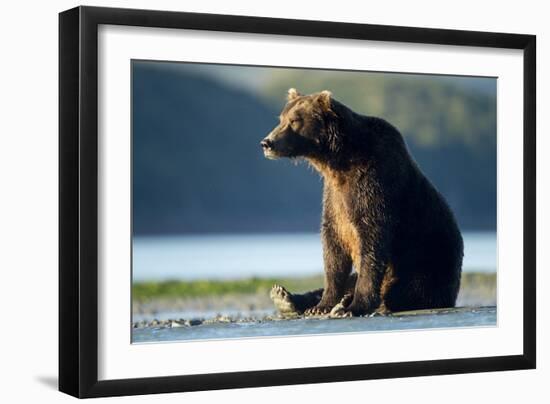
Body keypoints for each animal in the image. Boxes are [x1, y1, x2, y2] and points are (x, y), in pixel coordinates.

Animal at [264, 89, 466, 318]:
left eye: (295, 120)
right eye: (281, 119)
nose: (267, 142)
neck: (337, 162)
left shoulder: (373, 183)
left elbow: (371, 240)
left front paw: (354, 306)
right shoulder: (334, 198)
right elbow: (333, 248)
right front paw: (321, 305)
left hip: (428, 261)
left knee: (408, 289)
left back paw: (353, 302)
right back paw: (285, 297)